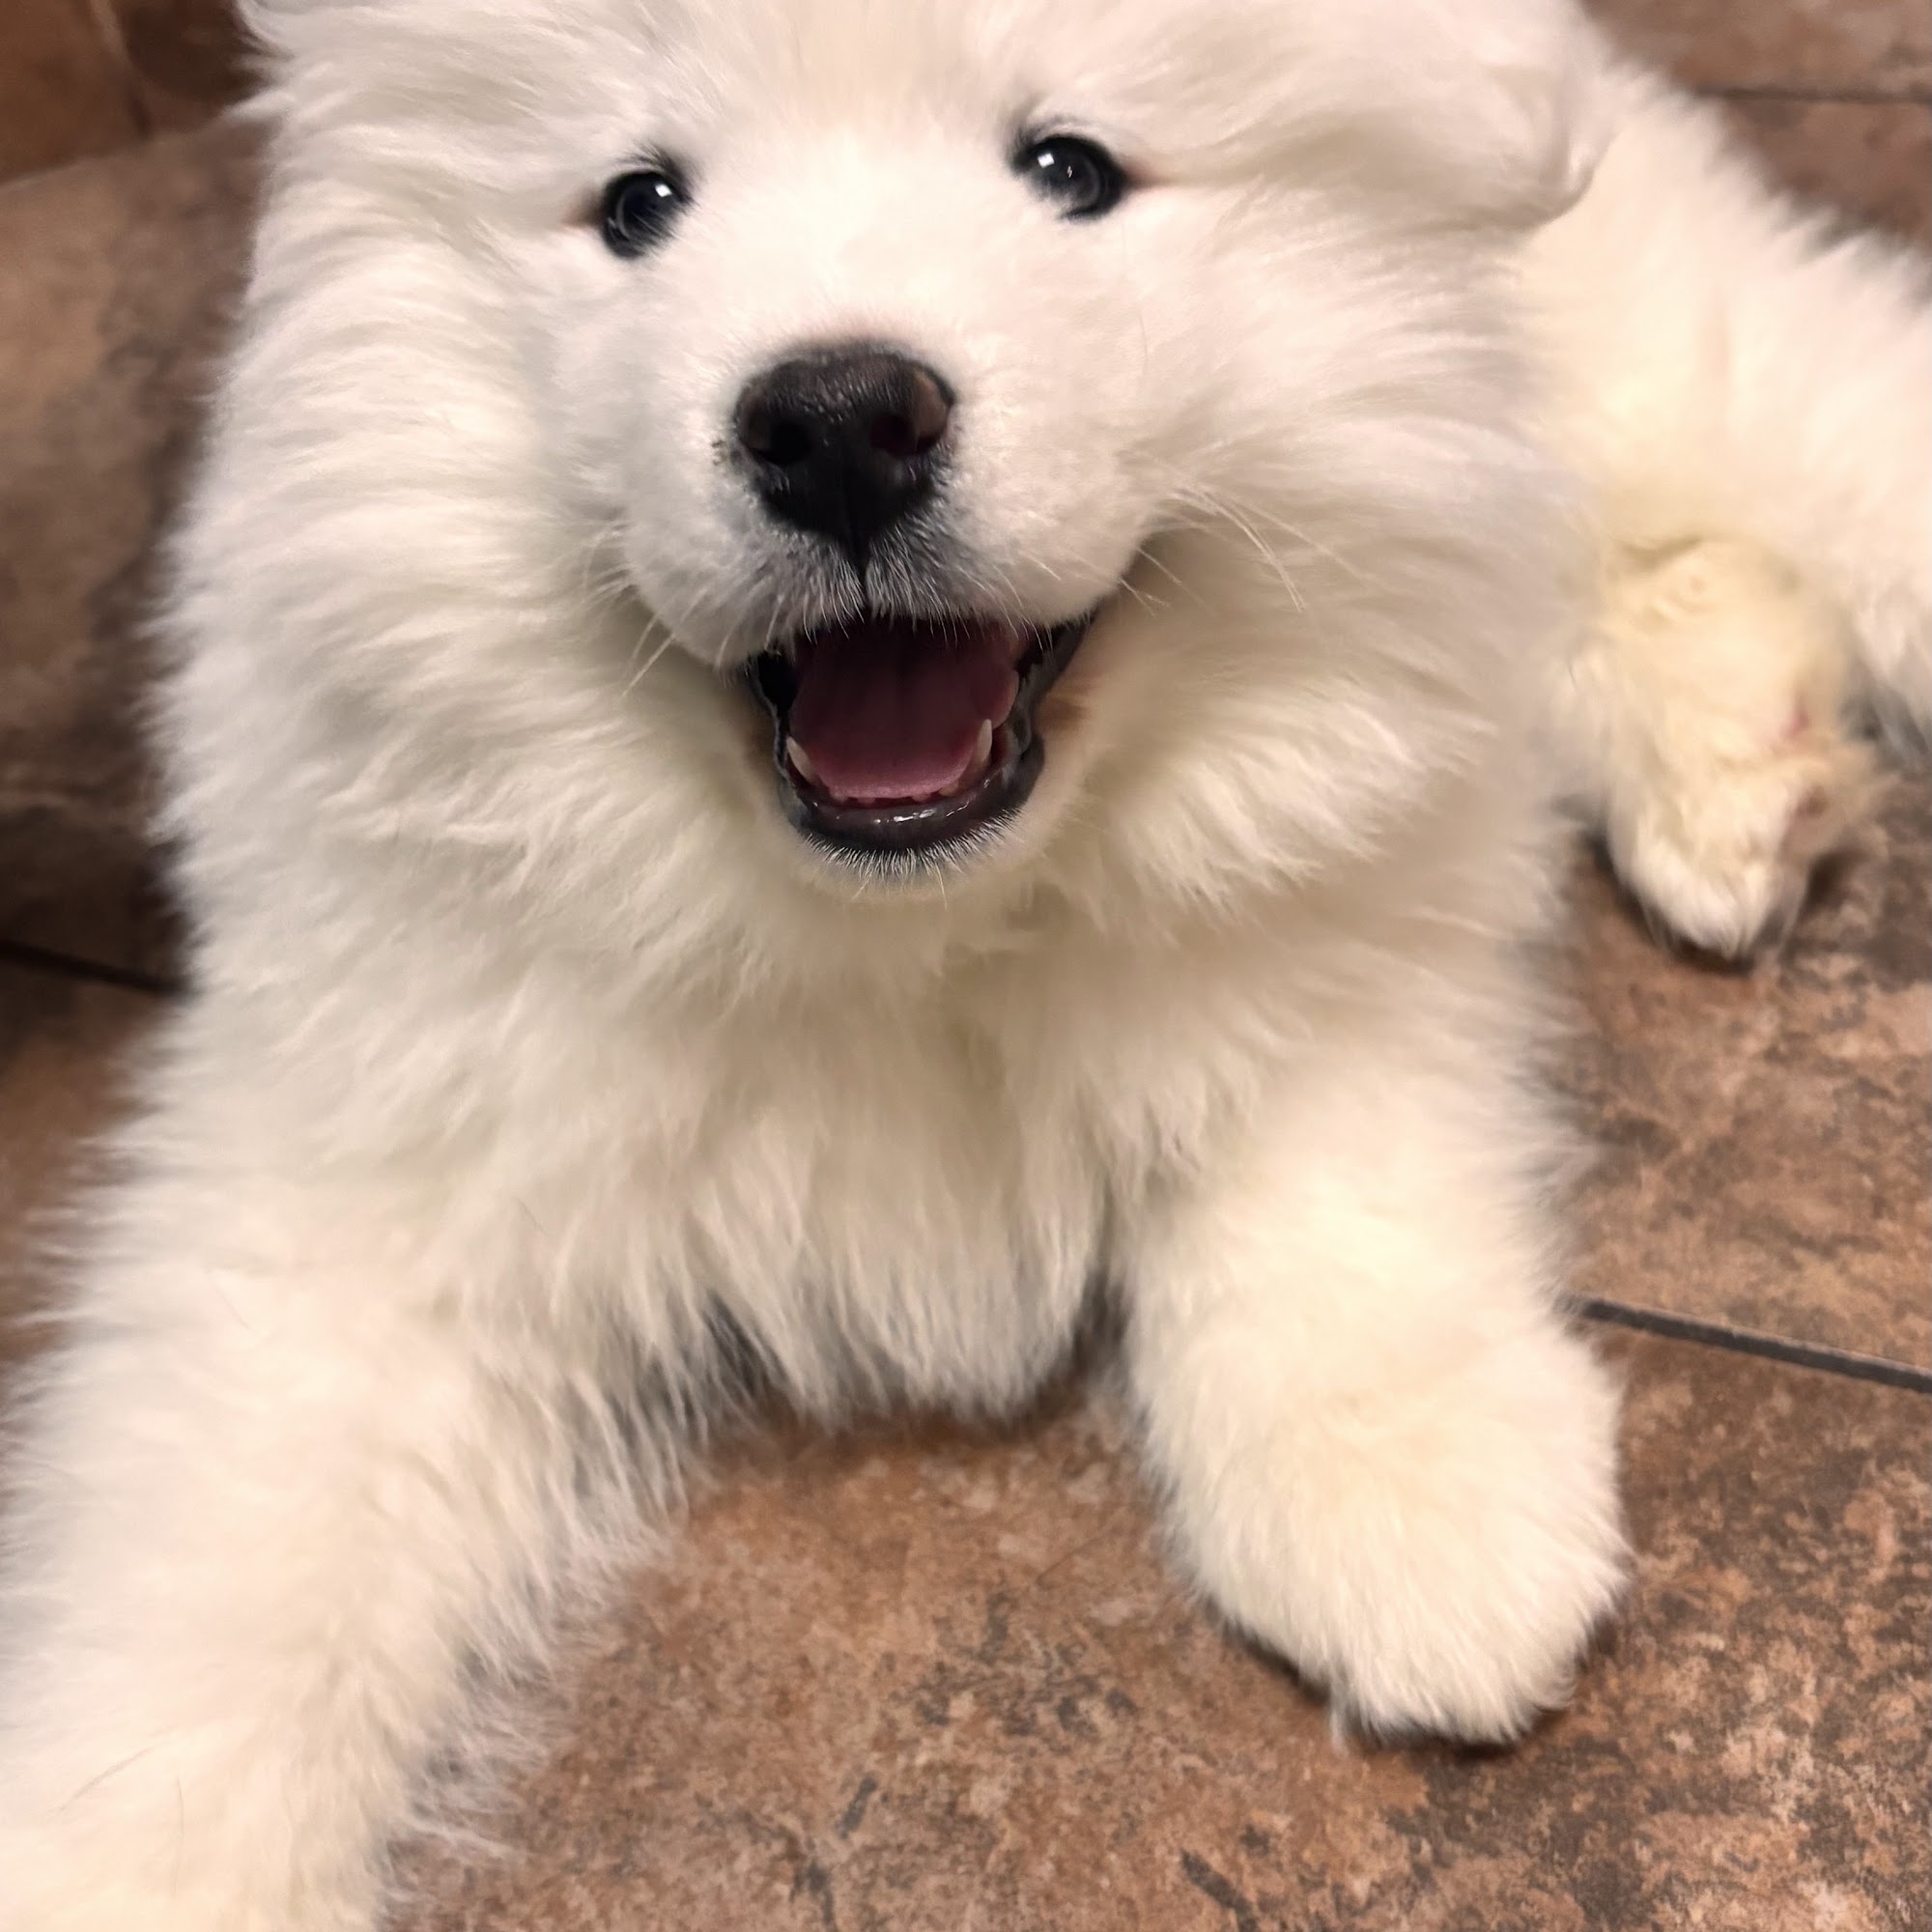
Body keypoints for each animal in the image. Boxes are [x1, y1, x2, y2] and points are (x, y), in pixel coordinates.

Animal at [2, 0, 1925, 1924]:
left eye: (1069, 166)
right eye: (638, 203)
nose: (840, 421)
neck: (915, 917)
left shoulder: (1374, 853)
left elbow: (1326, 1141)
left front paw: (1424, 1501)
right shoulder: (374, 1134)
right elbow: (219, 1597)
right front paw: (115, 1867)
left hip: (1651, 331)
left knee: (1807, 417)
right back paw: (1746, 766)